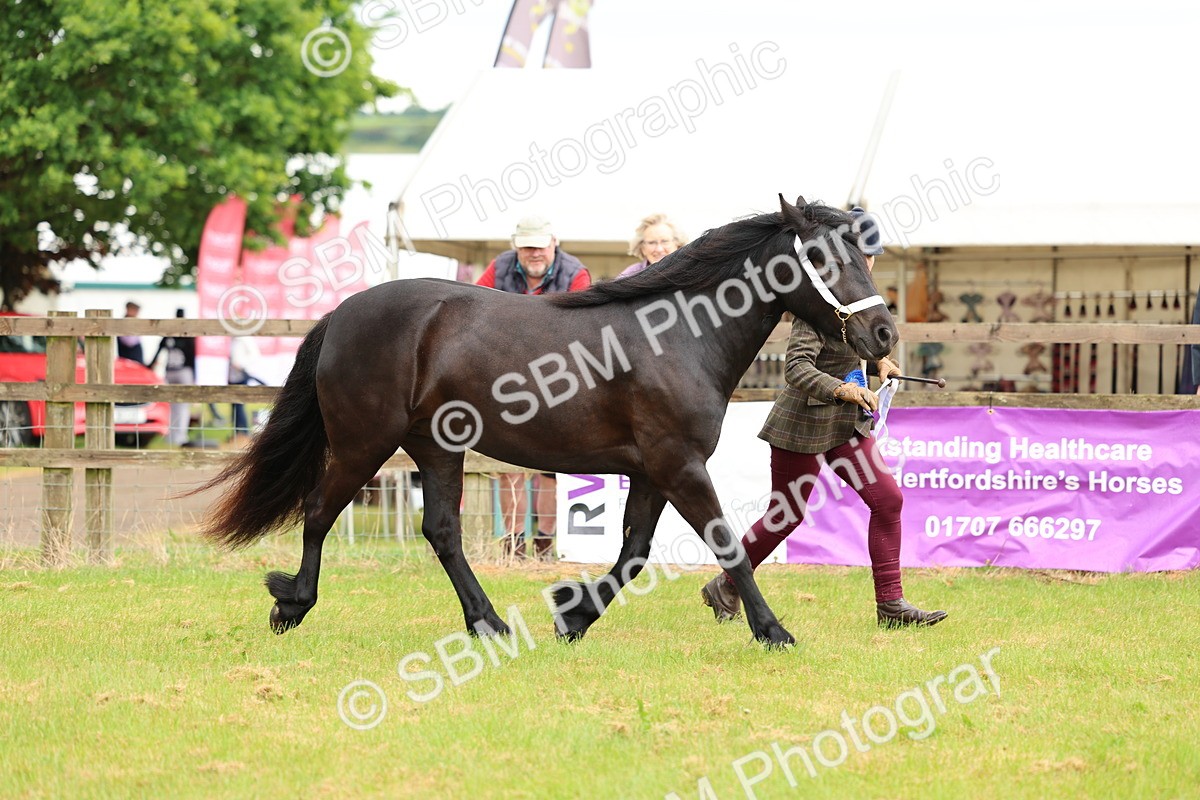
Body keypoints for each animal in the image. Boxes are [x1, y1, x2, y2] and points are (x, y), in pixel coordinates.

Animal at [197, 196, 897, 647]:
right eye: (821, 257)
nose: (883, 333)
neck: (678, 335)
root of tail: (343, 313)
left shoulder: (653, 471)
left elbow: (633, 553)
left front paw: (572, 616)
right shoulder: (679, 465)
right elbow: (724, 544)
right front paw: (773, 630)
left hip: (435, 448)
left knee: (442, 531)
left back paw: (488, 624)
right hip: (362, 443)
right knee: (320, 512)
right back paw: (292, 604)